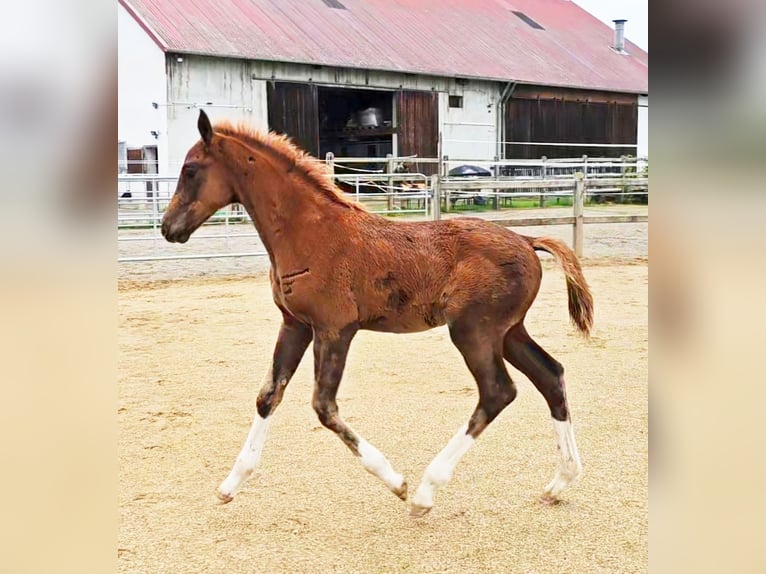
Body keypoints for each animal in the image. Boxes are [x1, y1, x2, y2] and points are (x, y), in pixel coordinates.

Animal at [160, 111, 592, 516]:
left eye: (190, 169)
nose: (167, 228)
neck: (310, 233)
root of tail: (527, 239)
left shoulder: (335, 329)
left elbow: (324, 407)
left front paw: (396, 481)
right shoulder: (296, 324)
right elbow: (268, 396)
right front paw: (230, 484)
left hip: (474, 331)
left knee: (498, 392)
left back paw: (425, 492)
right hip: (508, 331)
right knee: (550, 376)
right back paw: (560, 482)